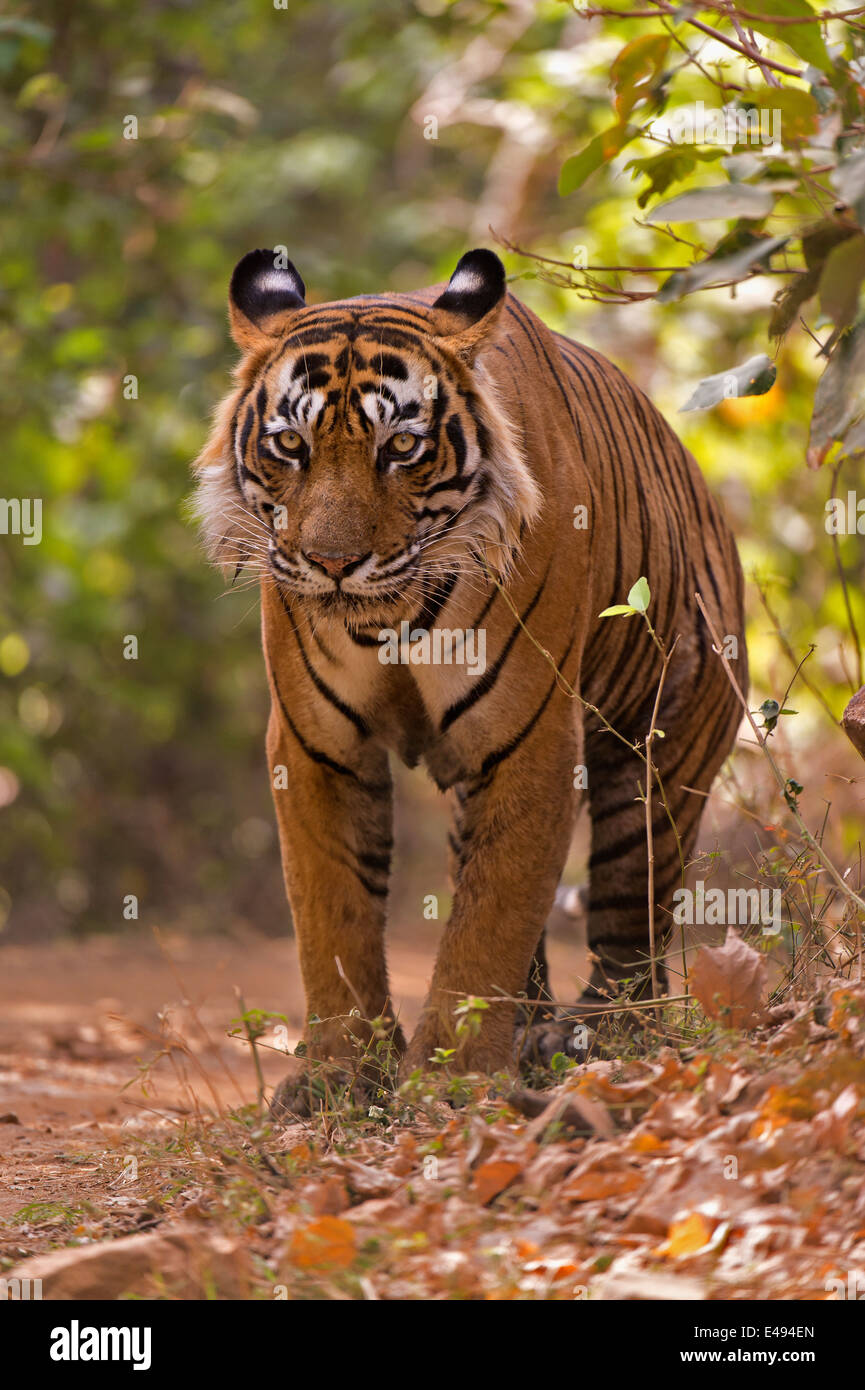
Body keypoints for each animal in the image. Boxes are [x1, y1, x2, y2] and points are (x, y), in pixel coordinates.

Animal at [193, 246, 746, 1112]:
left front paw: (453, 1082)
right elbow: (332, 913)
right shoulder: (316, 746)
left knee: (630, 922)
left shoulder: (529, 736)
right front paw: (339, 1077)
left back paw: (601, 1037)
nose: (331, 563)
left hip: (661, 765)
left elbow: (491, 918)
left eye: (400, 448)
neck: (384, 620)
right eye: (289, 445)